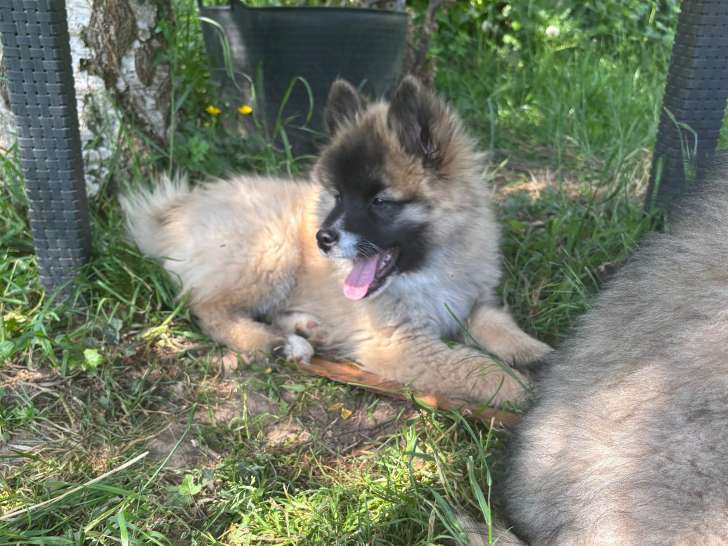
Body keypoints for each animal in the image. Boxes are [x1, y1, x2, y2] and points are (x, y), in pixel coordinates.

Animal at [121, 76, 550, 405]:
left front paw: (537, 354)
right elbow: (475, 367)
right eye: (338, 195)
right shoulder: (400, 344)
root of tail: (175, 214)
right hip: (271, 251)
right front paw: (525, 392)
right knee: (210, 311)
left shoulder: (471, 304)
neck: (430, 268)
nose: (322, 239)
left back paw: (309, 330)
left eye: (379, 202)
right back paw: (275, 342)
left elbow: (500, 328)